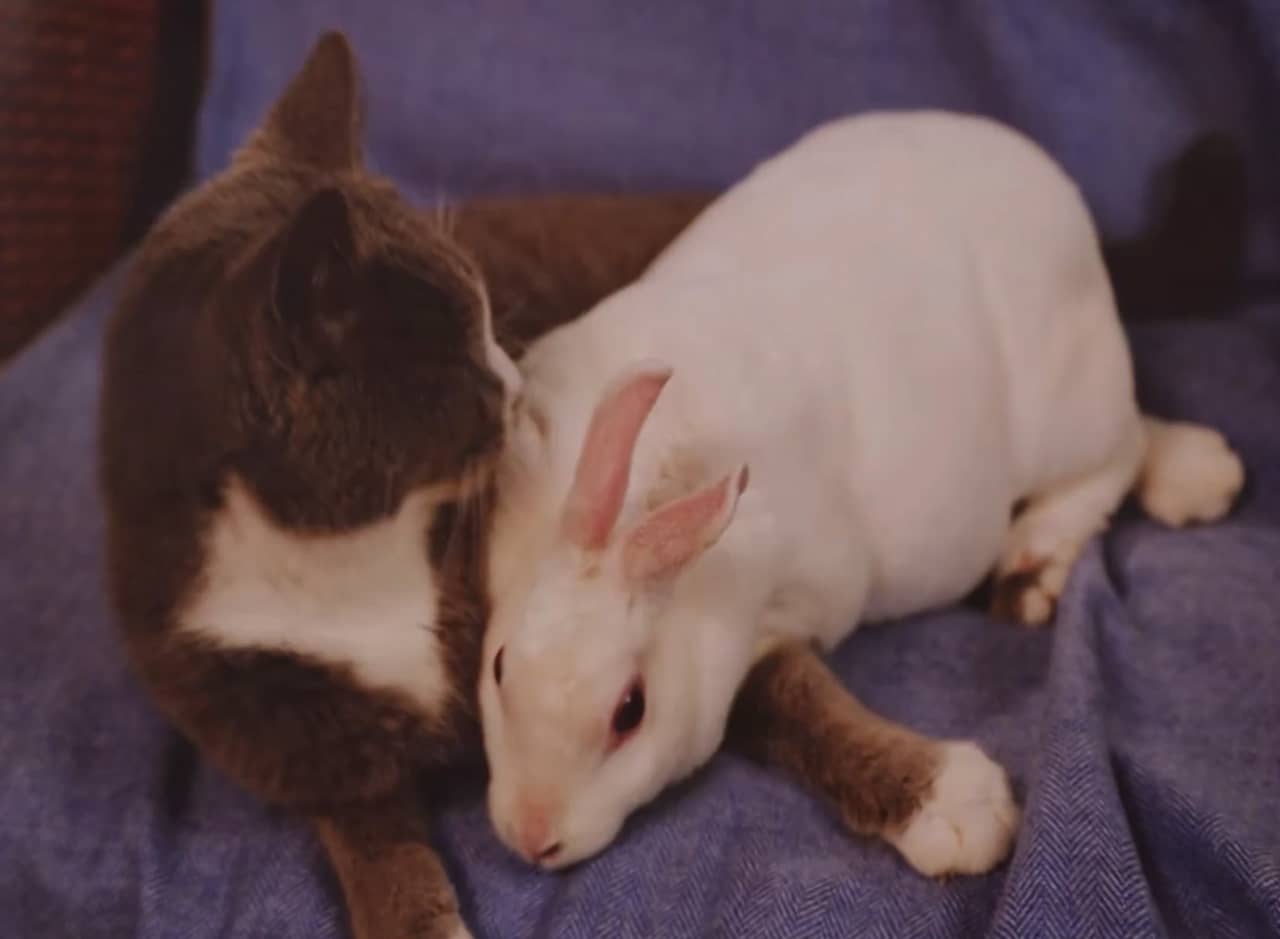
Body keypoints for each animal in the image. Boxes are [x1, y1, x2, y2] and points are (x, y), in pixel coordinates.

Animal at [478, 113, 1239, 880]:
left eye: (630, 711)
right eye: (500, 665)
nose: (530, 836)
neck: (643, 501)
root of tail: (1056, 189)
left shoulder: (793, 606)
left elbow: (793, 700)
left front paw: (960, 812)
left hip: (1070, 410)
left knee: (1115, 454)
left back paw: (1041, 560)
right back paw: (1200, 472)